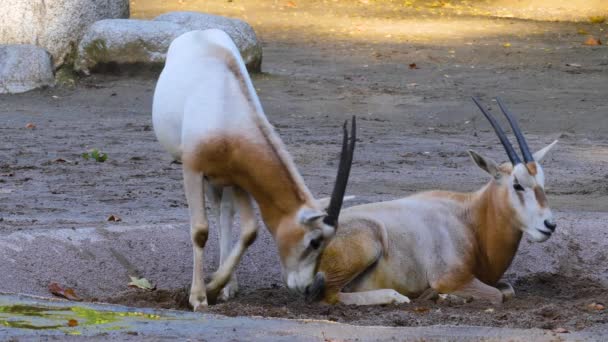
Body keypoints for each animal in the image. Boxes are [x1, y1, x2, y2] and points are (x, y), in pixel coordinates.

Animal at [151, 30, 356, 312]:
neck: (227, 111)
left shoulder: (239, 178)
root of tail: (198, 32)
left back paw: (228, 285)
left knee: (224, 215)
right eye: (314, 241)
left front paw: (215, 286)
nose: (306, 288)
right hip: (206, 177)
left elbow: (249, 231)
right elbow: (200, 231)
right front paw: (199, 296)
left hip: (221, 181)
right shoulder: (192, 171)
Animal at [304, 97, 556, 306]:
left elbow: (508, 289)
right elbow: (497, 295)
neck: (469, 218)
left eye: (542, 182)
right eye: (517, 184)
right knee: (330, 296)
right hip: (367, 244)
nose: (550, 225)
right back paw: (397, 297)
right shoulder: (451, 278)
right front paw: (444, 297)